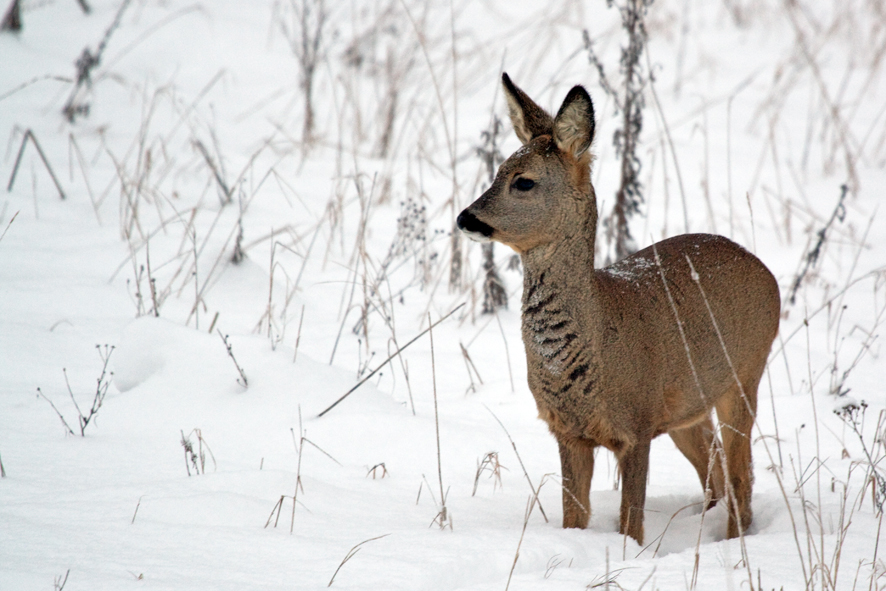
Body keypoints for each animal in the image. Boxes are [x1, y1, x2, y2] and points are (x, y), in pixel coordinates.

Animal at [462, 74, 780, 544]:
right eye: (497, 171)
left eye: (523, 181)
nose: (466, 217)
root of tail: (766, 272)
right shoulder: (568, 431)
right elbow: (573, 517)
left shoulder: (636, 424)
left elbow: (633, 522)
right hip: (688, 405)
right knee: (715, 468)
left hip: (745, 374)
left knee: (741, 476)